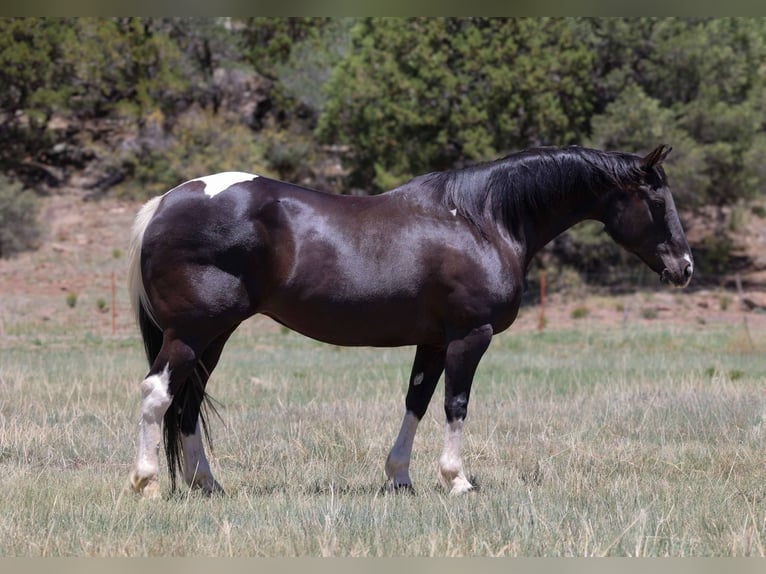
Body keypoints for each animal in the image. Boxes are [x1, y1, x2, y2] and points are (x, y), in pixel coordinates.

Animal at [126, 144, 693, 498]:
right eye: (656, 199)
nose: (684, 267)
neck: (482, 221)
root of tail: (166, 202)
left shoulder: (435, 343)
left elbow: (416, 401)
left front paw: (400, 478)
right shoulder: (469, 337)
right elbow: (455, 404)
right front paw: (457, 480)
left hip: (213, 336)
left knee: (188, 404)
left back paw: (208, 485)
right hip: (192, 334)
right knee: (157, 395)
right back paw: (146, 482)